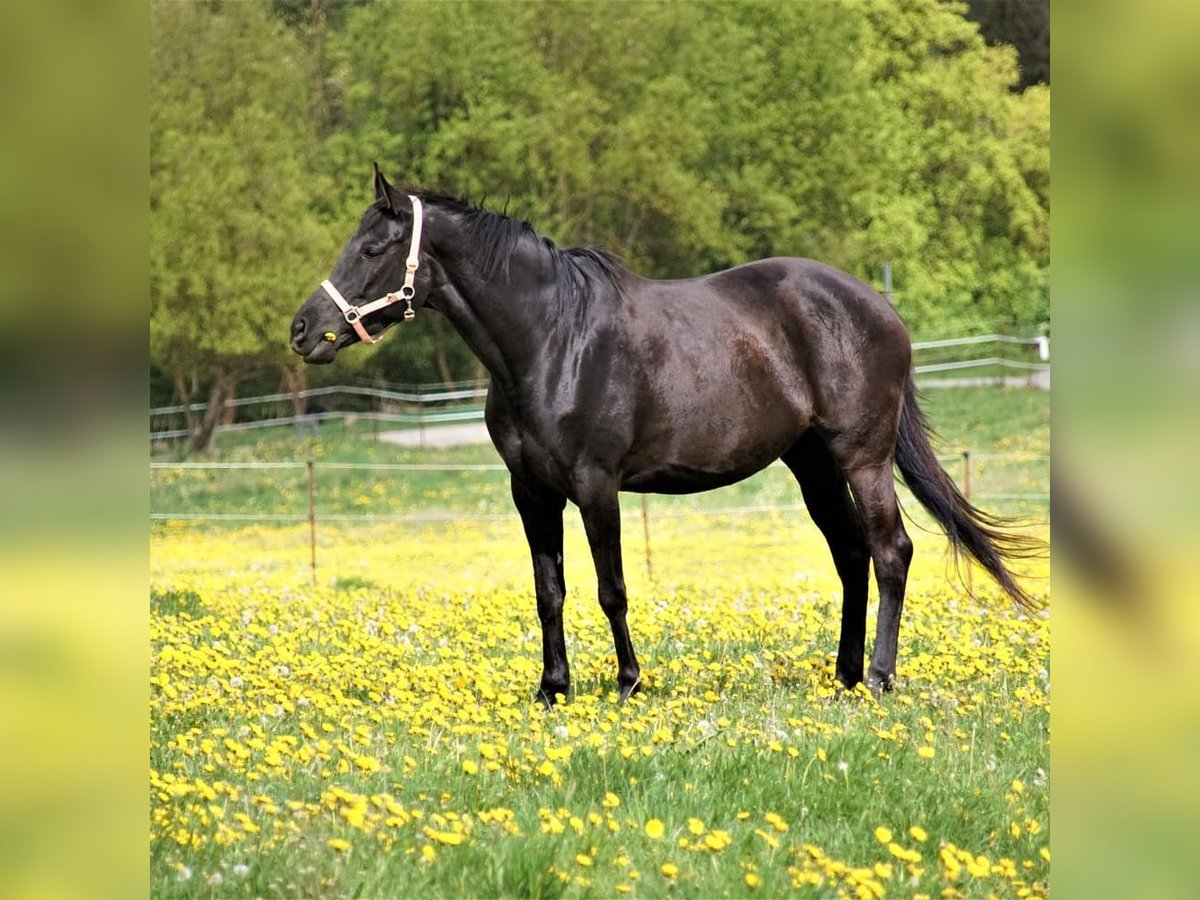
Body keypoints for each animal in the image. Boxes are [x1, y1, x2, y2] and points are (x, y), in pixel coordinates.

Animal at [288, 169, 1032, 705]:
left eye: (373, 249)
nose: (303, 331)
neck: (553, 339)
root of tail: (879, 308)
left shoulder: (597, 486)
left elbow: (610, 588)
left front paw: (627, 683)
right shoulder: (531, 492)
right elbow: (549, 591)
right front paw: (552, 689)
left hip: (863, 458)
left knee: (889, 551)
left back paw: (878, 678)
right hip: (812, 465)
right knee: (850, 554)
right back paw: (843, 677)